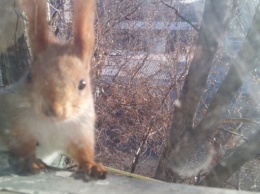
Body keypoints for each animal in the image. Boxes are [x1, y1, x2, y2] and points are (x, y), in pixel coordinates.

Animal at [0, 0, 106, 180]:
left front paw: (92, 165)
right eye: (30, 76)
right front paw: (30, 162)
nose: (52, 110)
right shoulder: (15, 120)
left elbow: (82, 152)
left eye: (83, 84)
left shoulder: (81, 129)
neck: (53, 124)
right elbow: (23, 145)